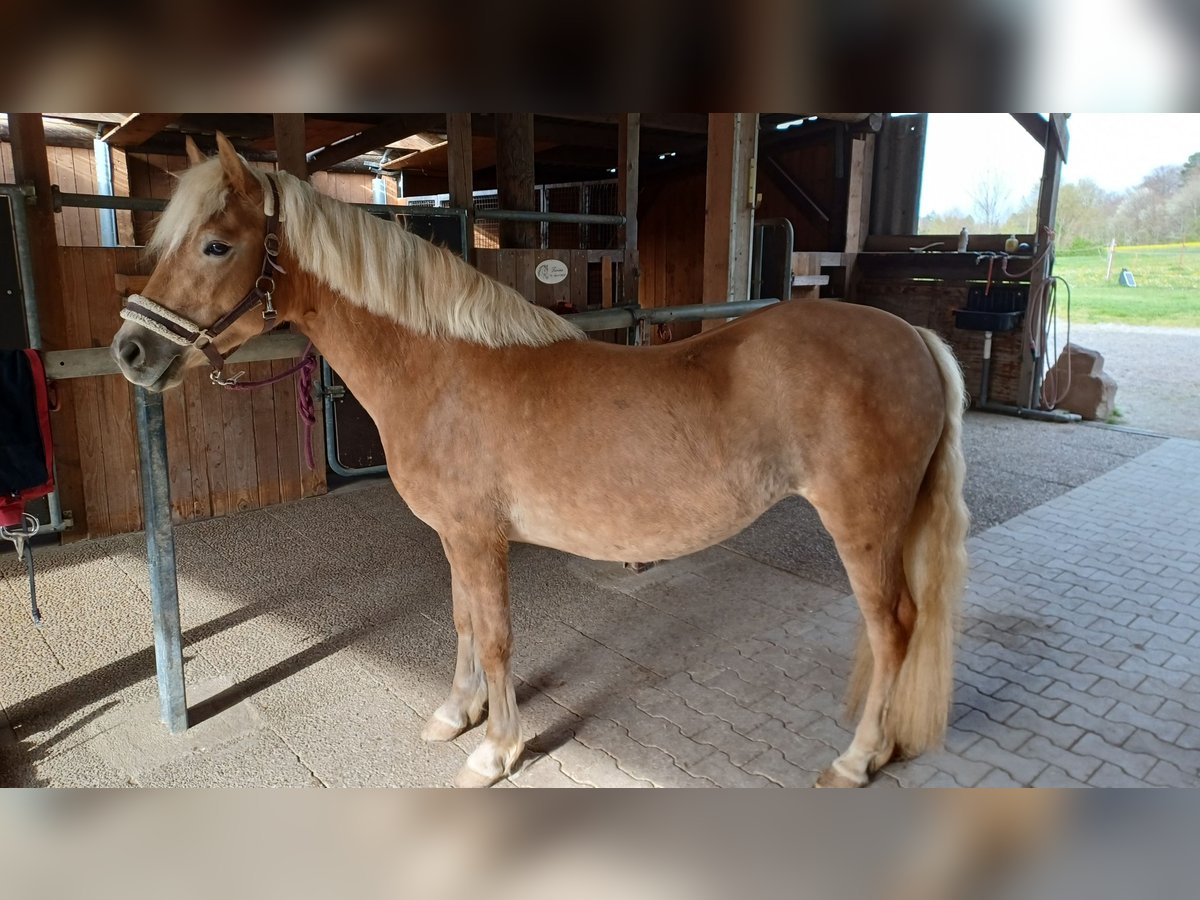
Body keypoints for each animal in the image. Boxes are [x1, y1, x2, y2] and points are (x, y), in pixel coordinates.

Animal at [108, 135, 960, 787]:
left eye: (217, 244)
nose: (131, 351)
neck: (443, 367)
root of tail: (914, 338)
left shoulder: (481, 541)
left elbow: (495, 638)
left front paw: (496, 751)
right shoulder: (455, 538)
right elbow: (460, 622)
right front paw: (457, 714)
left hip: (863, 526)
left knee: (893, 629)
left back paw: (856, 759)